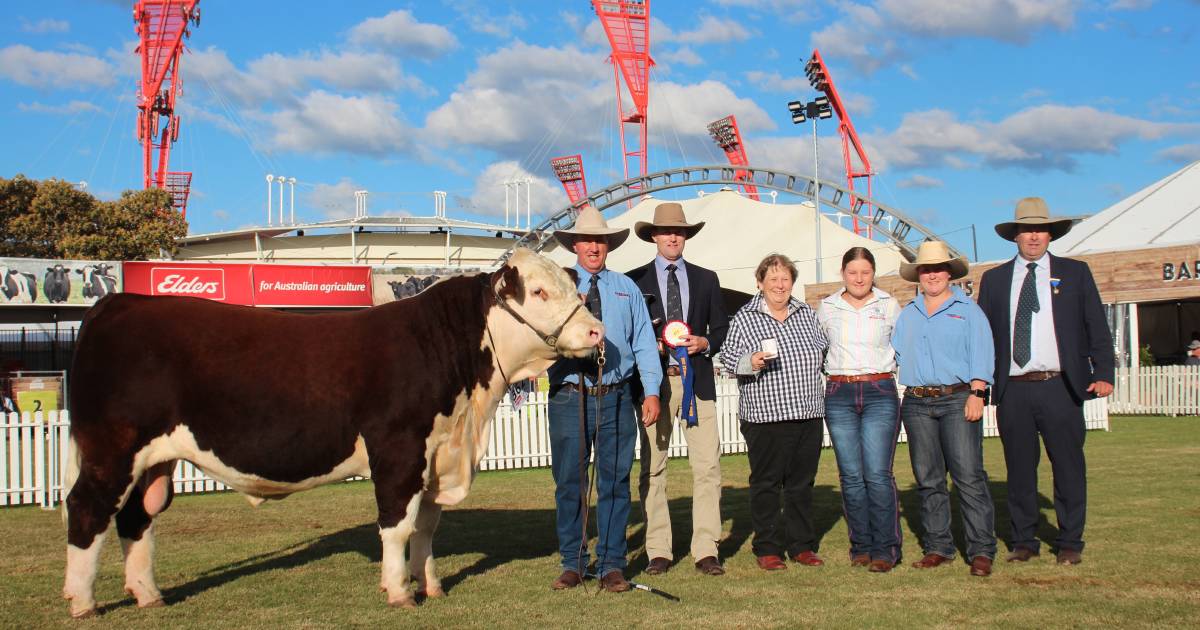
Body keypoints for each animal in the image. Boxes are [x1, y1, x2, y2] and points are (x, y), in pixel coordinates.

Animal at [63, 248, 597, 614]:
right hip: (112, 450)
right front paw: (399, 591)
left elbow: (426, 527)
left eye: (574, 290)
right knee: (87, 510)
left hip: (149, 460)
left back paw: (148, 594)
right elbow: (397, 525)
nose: (596, 331)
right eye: (540, 292)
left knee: (136, 518)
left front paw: (431, 585)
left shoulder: (435, 456)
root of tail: (118, 303)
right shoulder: (398, 450)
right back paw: (82, 601)